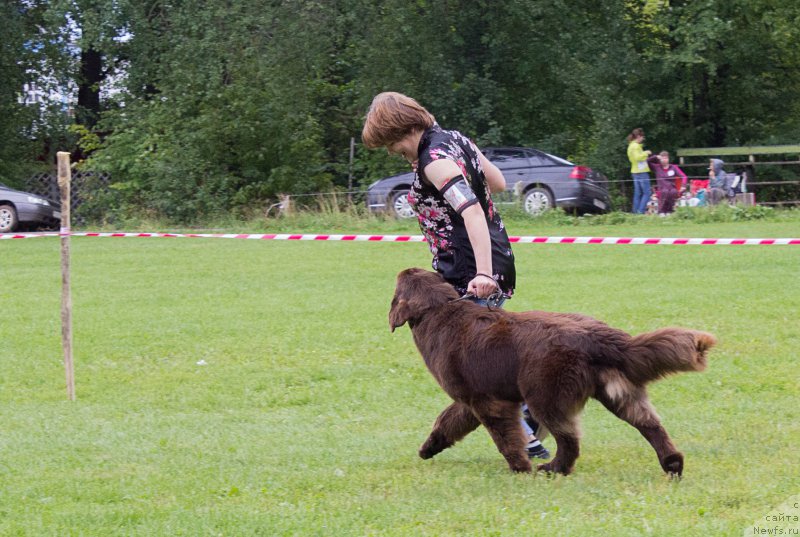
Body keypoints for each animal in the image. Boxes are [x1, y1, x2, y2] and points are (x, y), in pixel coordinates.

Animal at [390, 266, 716, 474]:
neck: (438, 310)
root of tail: (597, 336)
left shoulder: (489, 402)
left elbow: (506, 439)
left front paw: (521, 468)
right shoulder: (471, 398)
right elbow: (447, 421)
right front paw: (429, 447)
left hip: (545, 396)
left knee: (569, 439)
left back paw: (554, 468)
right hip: (618, 392)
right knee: (651, 425)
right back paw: (672, 464)